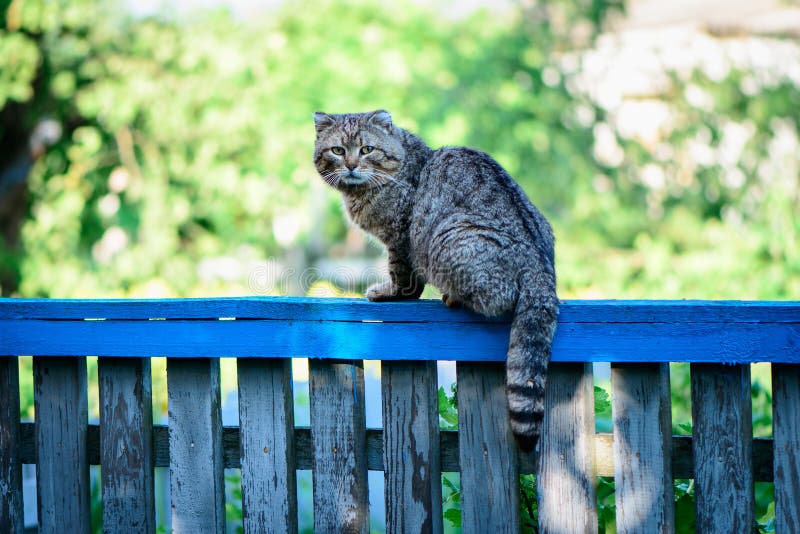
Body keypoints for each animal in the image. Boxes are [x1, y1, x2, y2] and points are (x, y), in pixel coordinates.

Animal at [312, 111, 556, 454]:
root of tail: (540, 264)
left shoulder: (401, 237)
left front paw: (389, 293)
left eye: (367, 149)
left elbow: (403, 278)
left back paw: (454, 297)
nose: (350, 165)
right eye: (337, 150)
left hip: (450, 237)